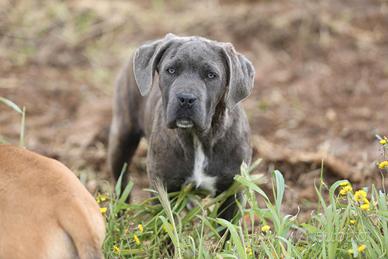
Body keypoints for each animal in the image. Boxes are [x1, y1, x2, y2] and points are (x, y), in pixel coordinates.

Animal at [108, 33, 255, 222]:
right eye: (171, 70)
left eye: (211, 75)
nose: (186, 98)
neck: (198, 137)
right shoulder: (162, 187)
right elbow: (166, 223)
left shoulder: (233, 191)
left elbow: (226, 227)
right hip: (122, 138)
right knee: (121, 180)